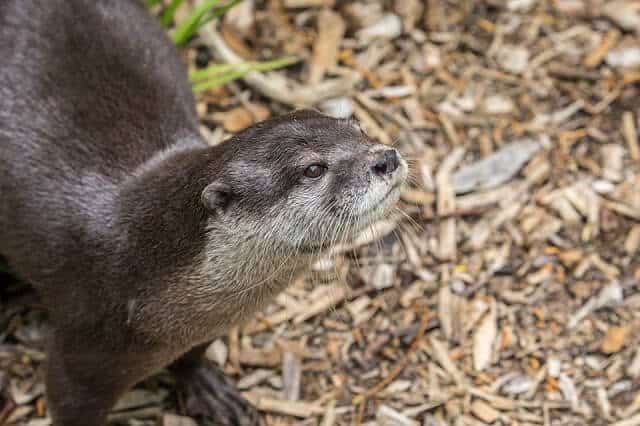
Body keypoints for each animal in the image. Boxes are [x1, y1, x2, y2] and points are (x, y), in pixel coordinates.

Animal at [0, 0, 408, 426]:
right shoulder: (81, 347)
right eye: (313, 168)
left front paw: (206, 386)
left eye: (357, 128)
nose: (386, 157)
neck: (141, 270)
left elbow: (193, 356)